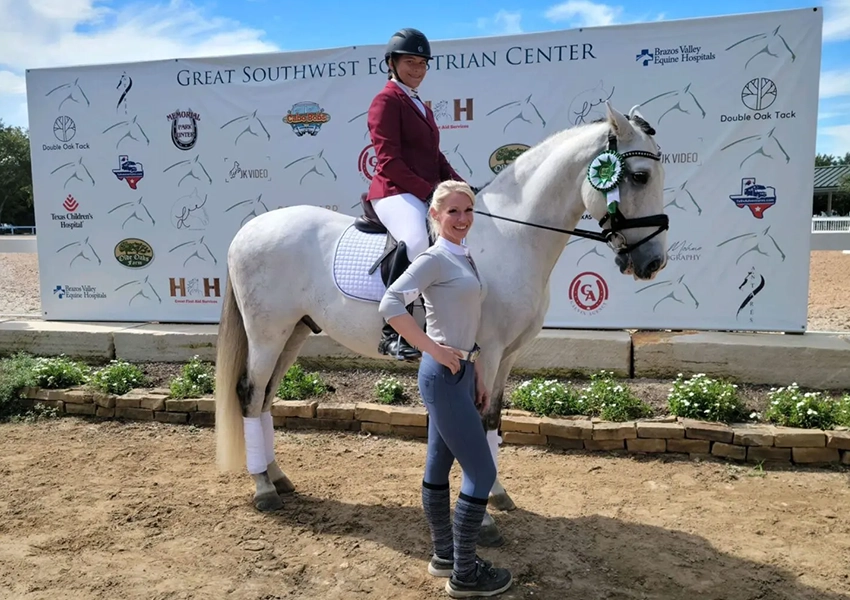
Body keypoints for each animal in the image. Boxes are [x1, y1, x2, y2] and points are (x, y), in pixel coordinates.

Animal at [212, 102, 668, 544]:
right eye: (640, 176)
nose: (654, 263)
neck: (510, 237)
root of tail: (248, 229)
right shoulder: (486, 352)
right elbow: (477, 422)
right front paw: (484, 519)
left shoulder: (507, 356)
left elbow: (493, 419)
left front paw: (497, 495)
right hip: (267, 333)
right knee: (250, 394)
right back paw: (263, 489)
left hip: (295, 331)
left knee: (266, 397)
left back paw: (278, 477)